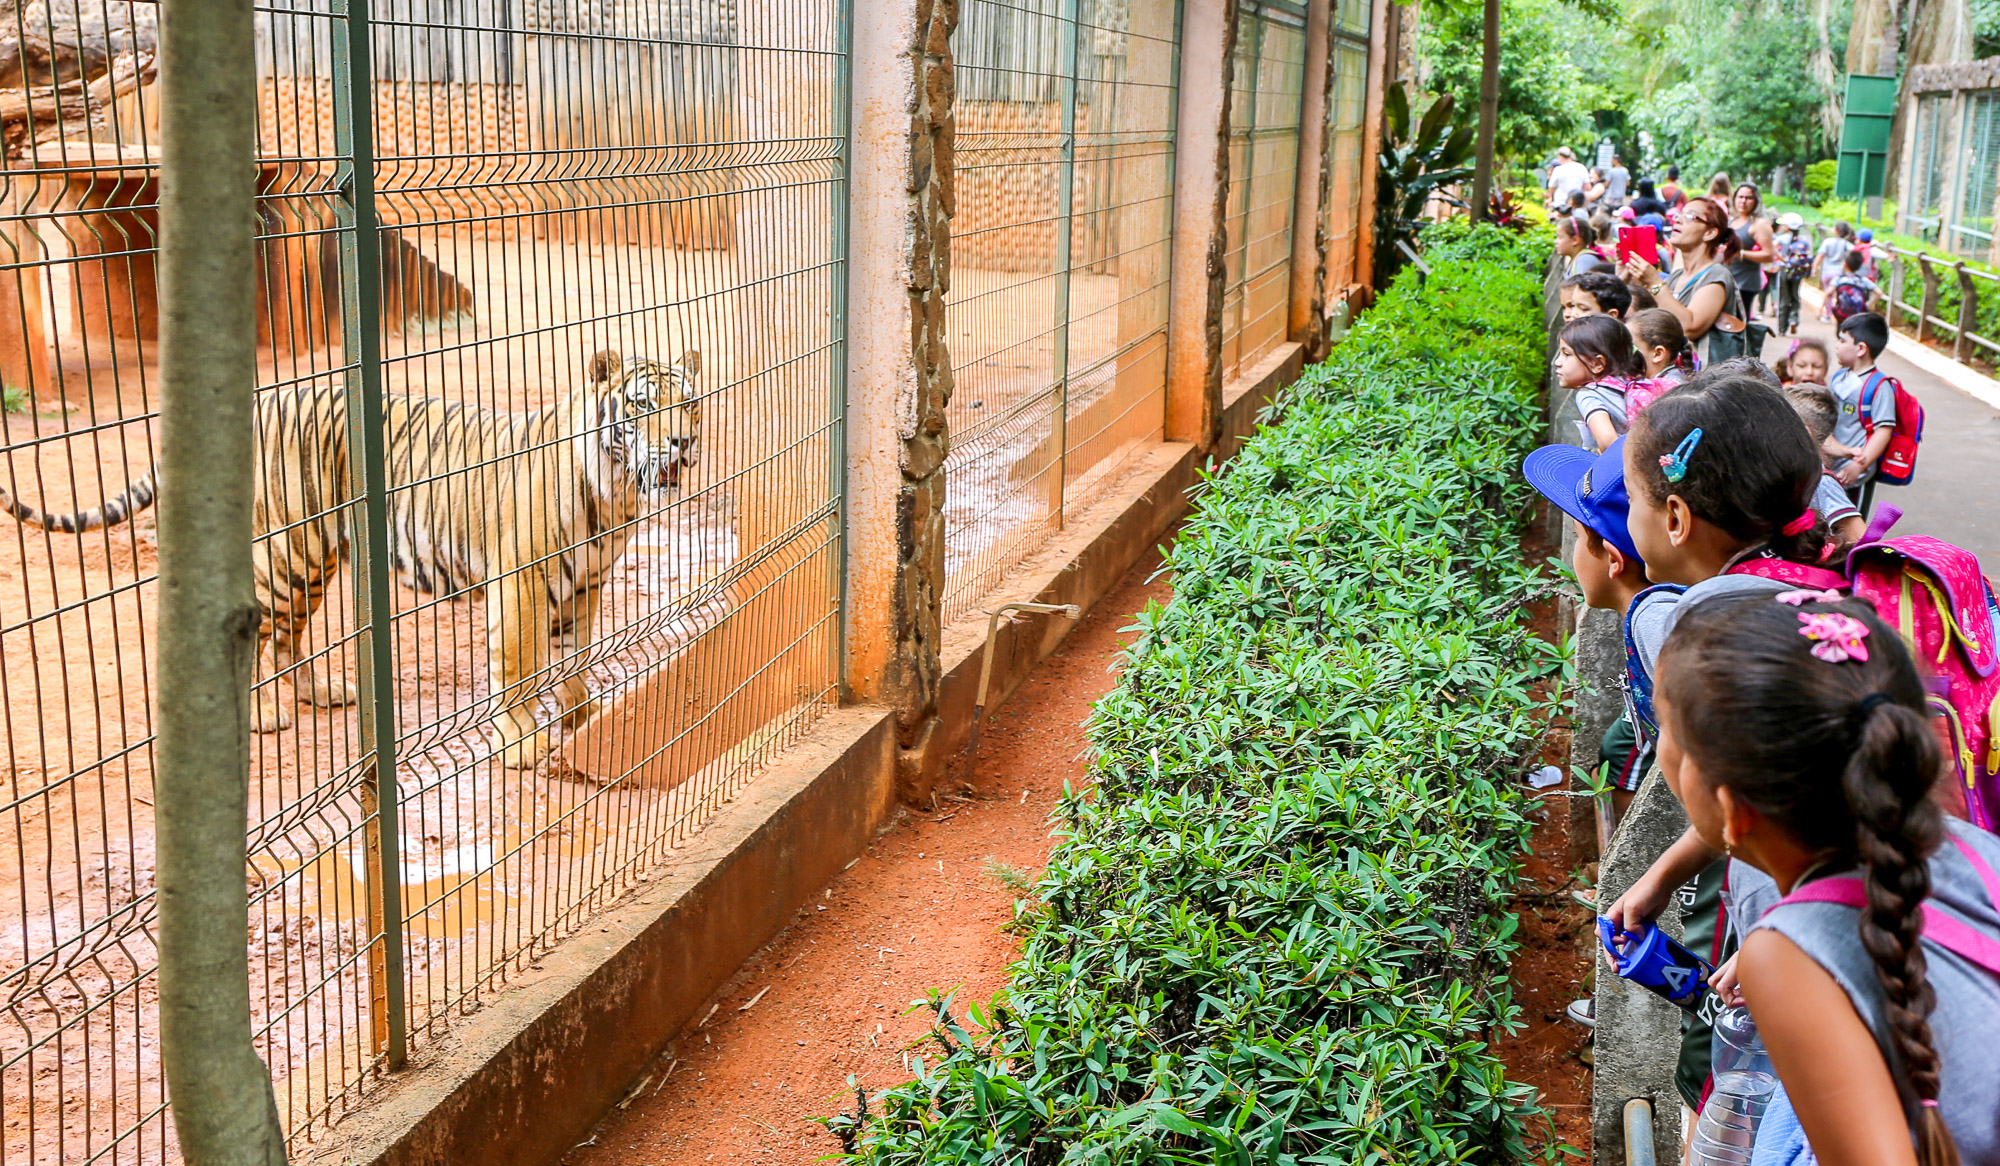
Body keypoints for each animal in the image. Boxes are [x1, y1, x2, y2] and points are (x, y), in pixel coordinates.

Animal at [0, 350, 704, 768]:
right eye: (642, 404)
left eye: (690, 402)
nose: (683, 441)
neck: (614, 491)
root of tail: (262, 398)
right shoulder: (521, 582)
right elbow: (517, 667)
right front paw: (522, 741)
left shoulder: (585, 583)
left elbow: (574, 652)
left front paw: (584, 714)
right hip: (286, 552)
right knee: (259, 633)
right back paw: (264, 718)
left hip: (316, 563)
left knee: (288, 638)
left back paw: (321, 694)